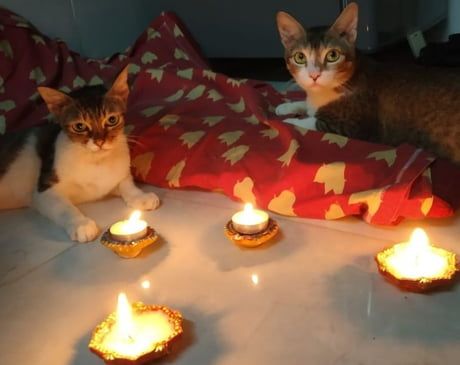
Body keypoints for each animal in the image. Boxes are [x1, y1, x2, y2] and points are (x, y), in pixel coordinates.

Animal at [0, 66, 160, 242]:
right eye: (79, 126)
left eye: (112, 120)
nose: (99, 141)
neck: (96, 161)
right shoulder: (45, 190)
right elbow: (64, 207)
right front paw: (81, 224)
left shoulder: (117, 175)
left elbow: (126, 183)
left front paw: (140, 197)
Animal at [274, 2, 460, 162]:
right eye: (300, 57)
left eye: (332, 55)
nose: (314, 75)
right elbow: (306, 105)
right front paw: (285, 106)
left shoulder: (352, 126)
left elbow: (310, 123)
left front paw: (288, 122)